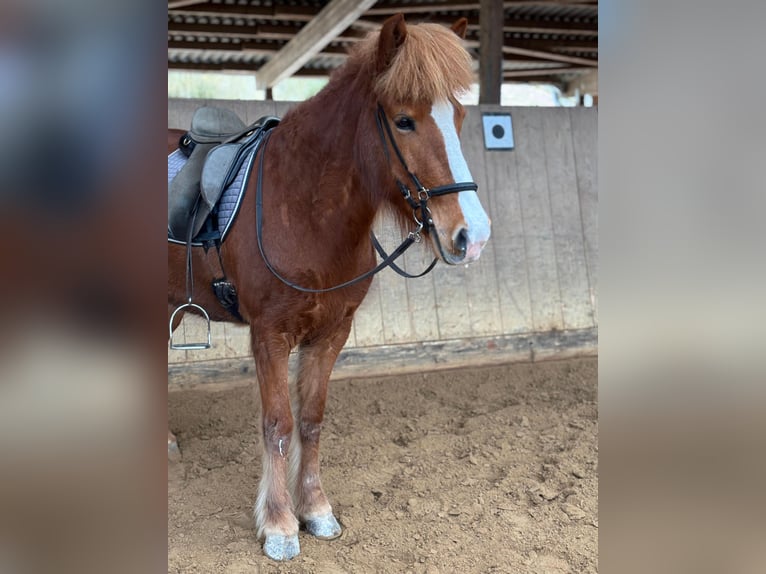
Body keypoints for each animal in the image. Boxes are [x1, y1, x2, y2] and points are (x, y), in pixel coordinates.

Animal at [168, 14, 491, 561]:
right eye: (403, 120)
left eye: (461, 116)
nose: (472, 235)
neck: (302, 205)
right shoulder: (270, 335)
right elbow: (278, 425)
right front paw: (279, 525)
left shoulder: (331, 334)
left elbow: (312, 419)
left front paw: (316, 511)